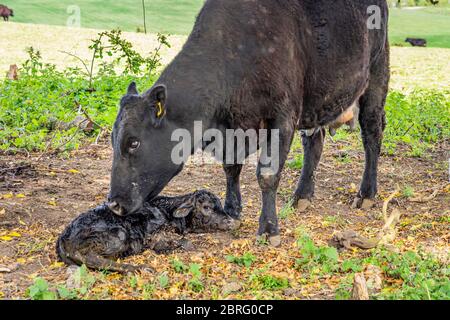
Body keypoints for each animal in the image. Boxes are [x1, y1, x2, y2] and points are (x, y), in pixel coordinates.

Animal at [56, 190, 239, 272]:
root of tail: (63, 240)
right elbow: (185, 243)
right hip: (117, 235)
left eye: (220, 205)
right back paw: (138, 268)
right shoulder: (156, 236)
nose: (231, 221)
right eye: (206, 207)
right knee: (91, 258)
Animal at [107, 0, 388, 245]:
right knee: (314, 143)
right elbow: (231, 167)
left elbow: (267, 174)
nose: (113, 203)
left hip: (376, 73)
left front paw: (268, 229)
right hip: (316, 99)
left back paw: (366, 194)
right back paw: (301, 196)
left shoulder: (283, 116)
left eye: (134, 142)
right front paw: (232, 209)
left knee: (371, 135)